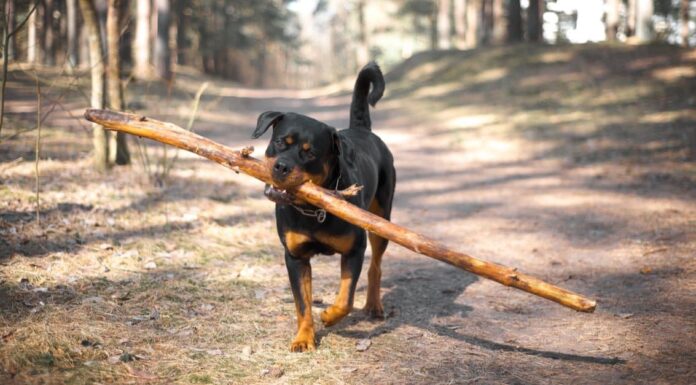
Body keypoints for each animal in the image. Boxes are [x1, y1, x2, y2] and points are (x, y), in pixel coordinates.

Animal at [250, 62, 394, 352]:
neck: (311, 208)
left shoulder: (354, 250)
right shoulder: (295, 258)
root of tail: (364, 131)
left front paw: (329, 316)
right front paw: (304, 338)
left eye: (310, 153)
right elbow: (302, 303)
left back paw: (374, 305)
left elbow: (346, 298)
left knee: (376, 266)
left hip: (380, 219)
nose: (281, 166)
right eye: (280, 142)